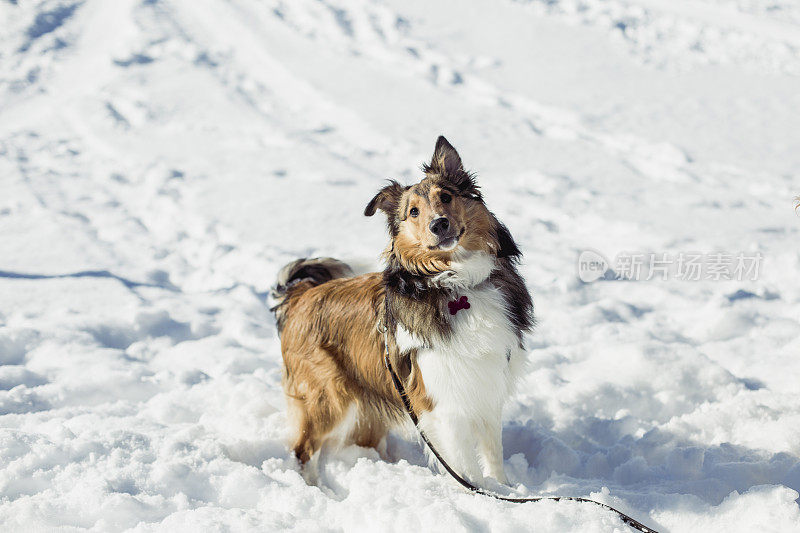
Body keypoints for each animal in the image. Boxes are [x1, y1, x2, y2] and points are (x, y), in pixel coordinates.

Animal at [272, 136, 536, 486]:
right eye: (413, 212)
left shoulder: (485, 385)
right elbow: (465, 465)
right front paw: (478, 492)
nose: (439, 224)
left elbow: (493, 454)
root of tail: (302, 294)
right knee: (304, 450)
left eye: (446, 196)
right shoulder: (440, 400)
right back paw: (316, 488)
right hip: (327, 397)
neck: (456, 283)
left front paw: (503, 489)